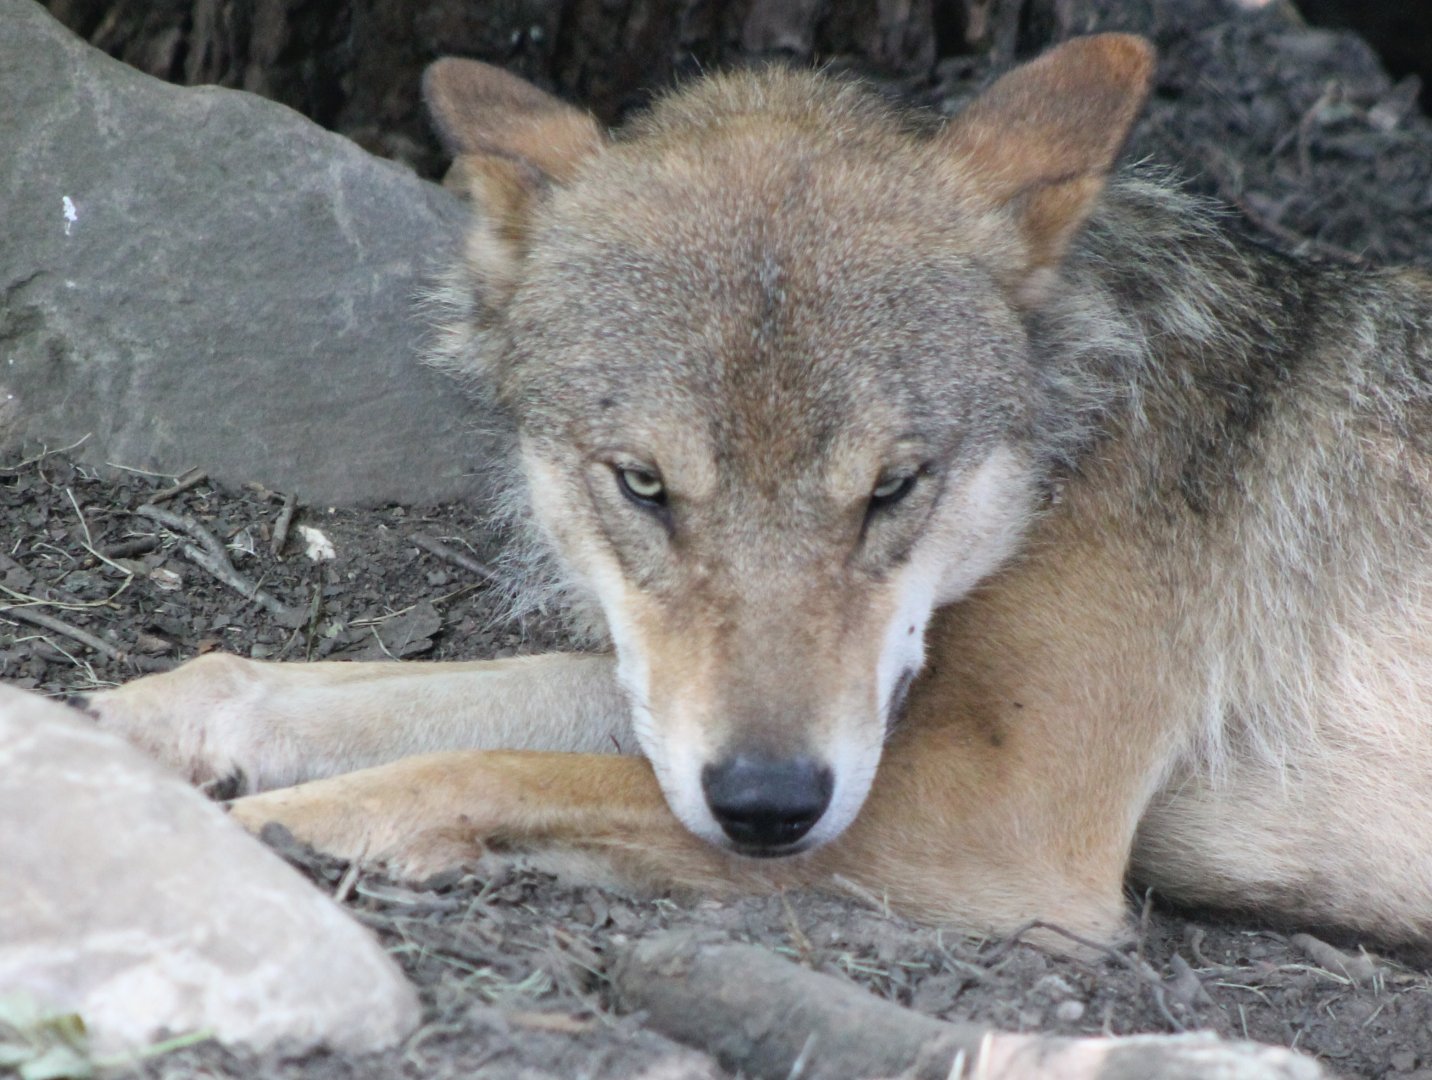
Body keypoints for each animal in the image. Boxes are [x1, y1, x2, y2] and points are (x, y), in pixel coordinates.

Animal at [81, 34, 1431, 956]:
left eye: (894, 488)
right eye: (643, 485)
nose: (769, 807)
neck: (1084, 435)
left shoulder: (1001, 819)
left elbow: (472, 768)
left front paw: (222, 848)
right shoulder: (722, 712)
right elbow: (390, 697)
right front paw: (117, 734)